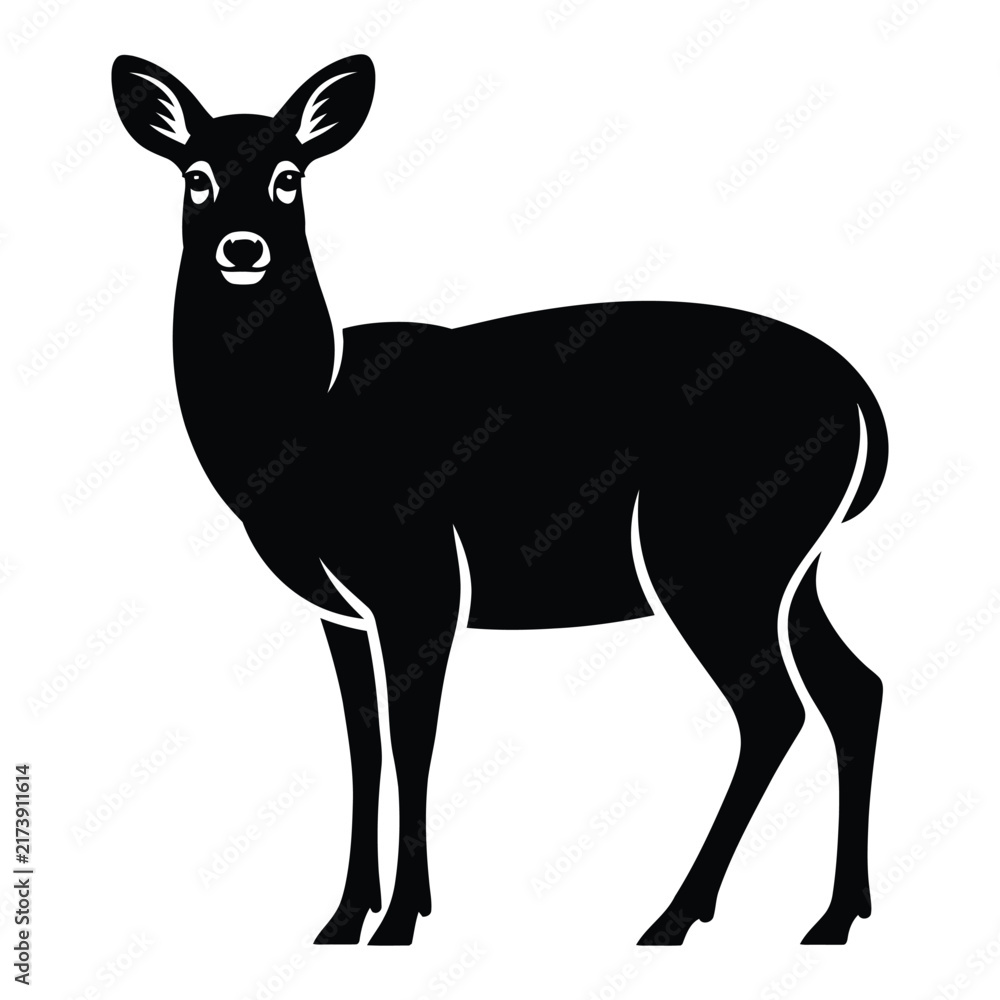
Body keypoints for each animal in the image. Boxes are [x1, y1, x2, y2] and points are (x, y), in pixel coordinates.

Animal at [111, 53, 888, 947]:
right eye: (196, 176)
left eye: (288, 177)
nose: (244, 248)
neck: (312, 420)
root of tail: (862, 402)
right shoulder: (340, 610)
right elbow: (362, 744)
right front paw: (342, 918)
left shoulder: (421, 581)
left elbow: (413, 741)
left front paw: (401, 920)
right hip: (788, 567)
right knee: (854, 690)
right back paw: (833, 916)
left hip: (706, 554)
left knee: (774, 710)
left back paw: (674, 917)